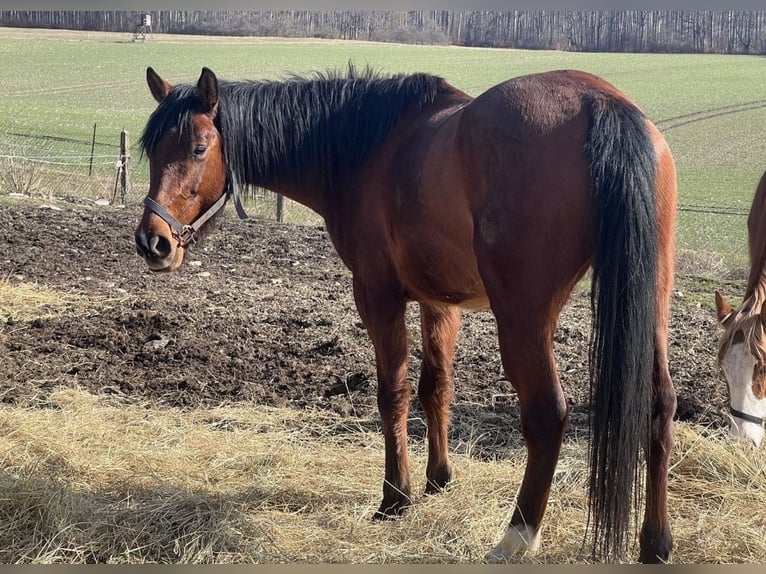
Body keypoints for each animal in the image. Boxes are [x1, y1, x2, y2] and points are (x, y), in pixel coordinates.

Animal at [134, 65, 678, 563]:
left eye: (198, 148)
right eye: (151, 150)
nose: (151, 243)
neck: (368, 147)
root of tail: (600, 102)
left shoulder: (378, 295)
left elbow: (391, 394)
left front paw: (395, 497)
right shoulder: (441, 302)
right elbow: (435, 386)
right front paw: (439, 478)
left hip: (523, 318)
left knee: (547, 414)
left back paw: (517, 537)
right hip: (652, 305)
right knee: (659, 406)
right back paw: (655, 544)